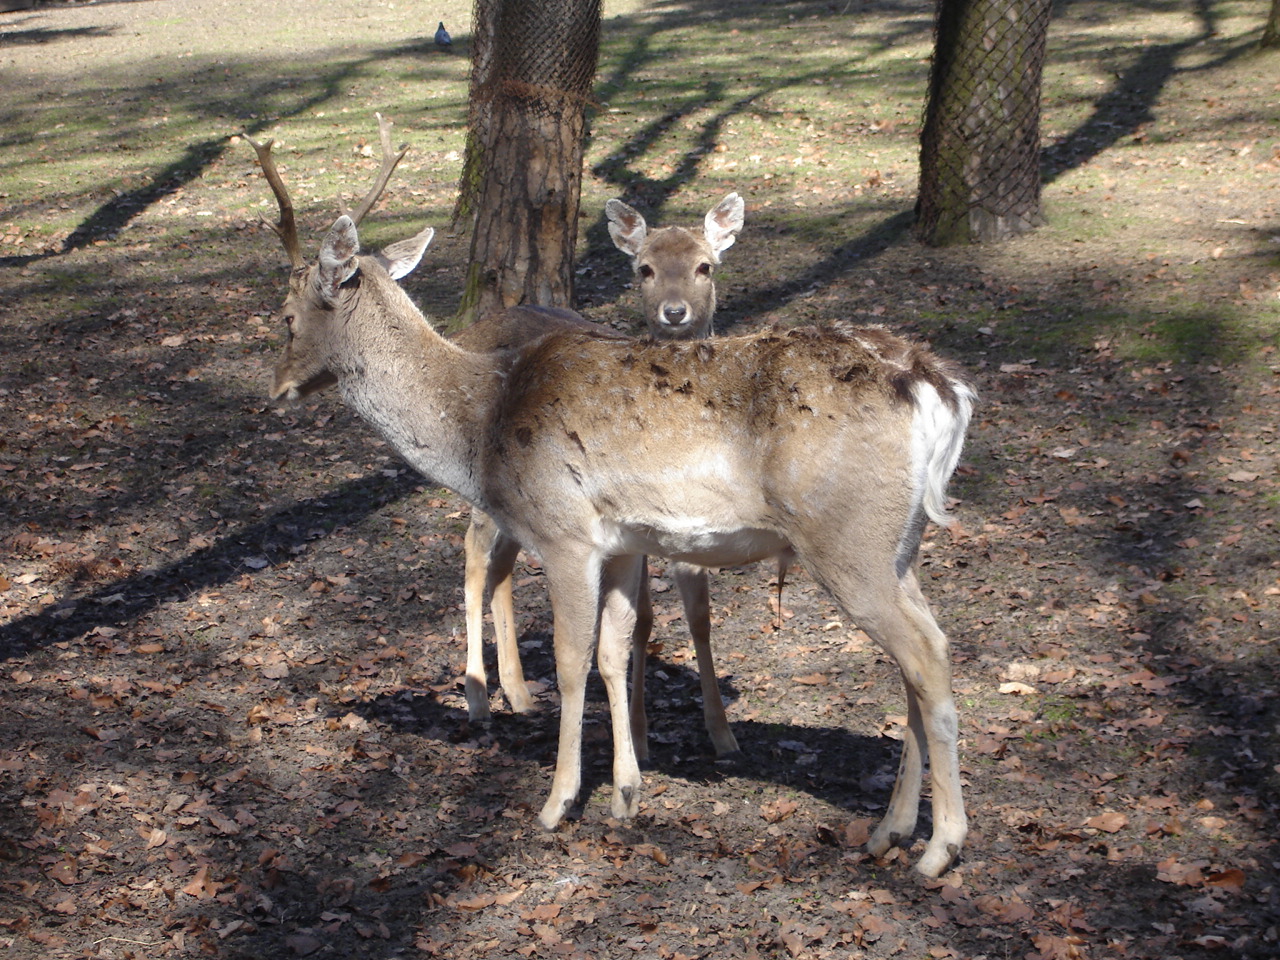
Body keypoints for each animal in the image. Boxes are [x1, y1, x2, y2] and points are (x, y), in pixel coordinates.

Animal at [251, 119, 976, 877]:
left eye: (285, 316)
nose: (275, 390)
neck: (482, 420)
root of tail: (941, 388)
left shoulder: (565, 531)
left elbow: (573, 661)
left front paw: (557, 802)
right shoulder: (627, 540)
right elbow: (613, 651)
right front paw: (628, 793)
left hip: (847, 535)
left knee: (926, 657)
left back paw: (940, 848)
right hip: (899, 544)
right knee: (923, 657)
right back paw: (890, 830)